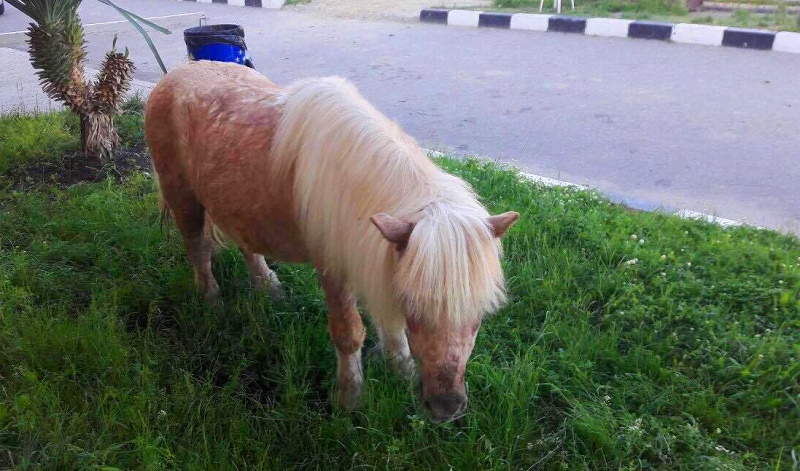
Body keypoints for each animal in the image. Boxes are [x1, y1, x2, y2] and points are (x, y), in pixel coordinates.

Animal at [144, 60, 520, 424]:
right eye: (416, 308)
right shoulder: (335, 270)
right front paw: (349, 399)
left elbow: (390, 326)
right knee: (197, 250)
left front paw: (401, 370)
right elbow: (348, 333)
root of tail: (176, 74)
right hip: (182, 198)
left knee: (245, 242)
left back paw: (268, 286)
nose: (446, 408)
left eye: (479, 314)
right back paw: (212, 301)